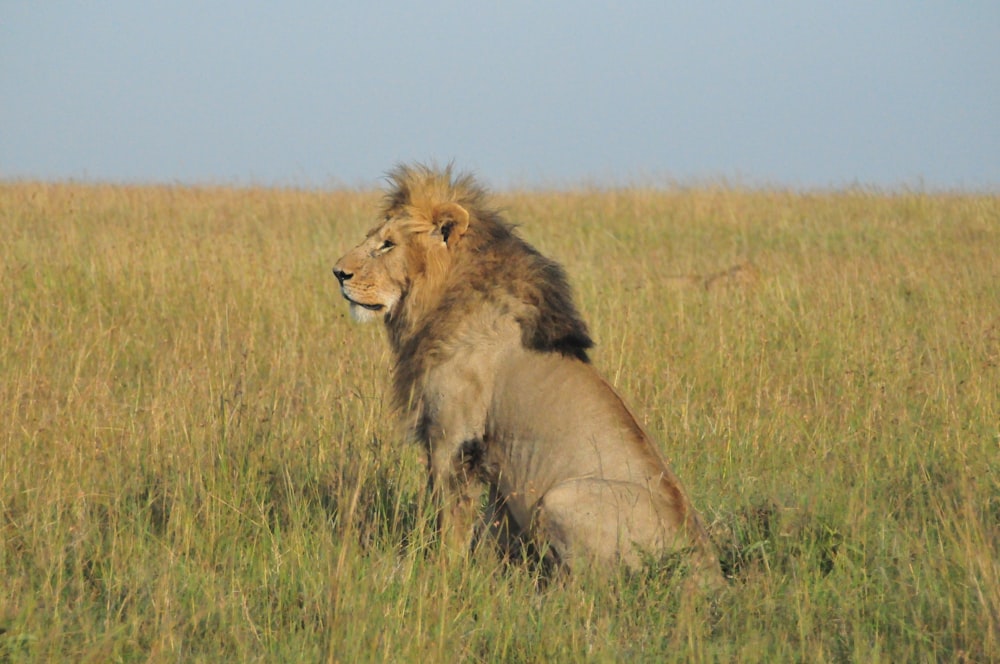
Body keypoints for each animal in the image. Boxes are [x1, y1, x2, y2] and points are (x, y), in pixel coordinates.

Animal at [332, 166, 724, 588]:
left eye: (387, 245)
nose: (338, 273)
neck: (437, 304)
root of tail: (709, 573)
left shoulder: (454, 438)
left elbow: (449, 519)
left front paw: (441, 572)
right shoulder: (494, 464)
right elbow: (490, 526)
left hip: (561, 499)